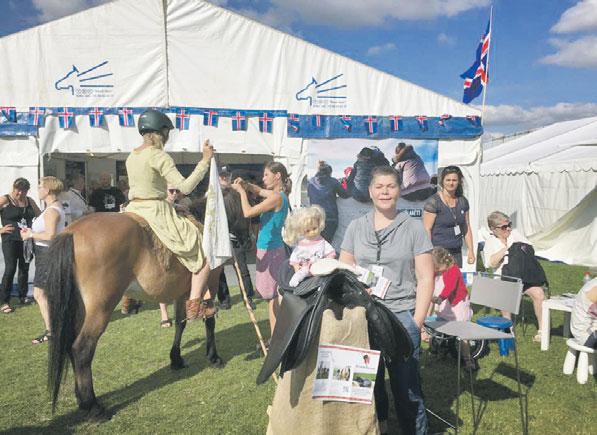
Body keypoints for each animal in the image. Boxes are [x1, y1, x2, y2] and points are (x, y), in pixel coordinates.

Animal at [43, 189, 244, 420]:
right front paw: (214, 357)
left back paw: (81, 400)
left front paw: (176, 359)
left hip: (77, 309)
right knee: (82, 349)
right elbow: (209, 321)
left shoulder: (181, 294)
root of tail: (71, 232)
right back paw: (93, 406)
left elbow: (180, 323)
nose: (243, 242)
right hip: (100, 308)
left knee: (69, 344)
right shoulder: (210, 282)